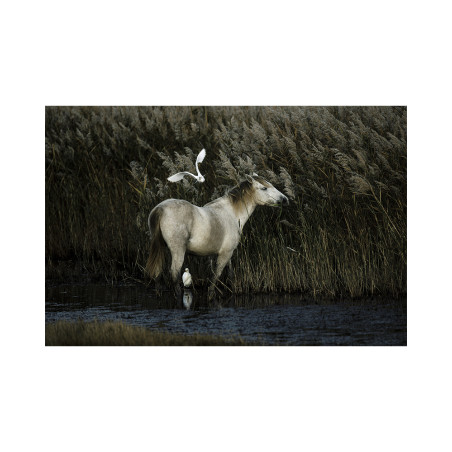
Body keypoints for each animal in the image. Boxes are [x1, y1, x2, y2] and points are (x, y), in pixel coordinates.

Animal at [147, 175, 288, 298]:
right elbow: (215, 277)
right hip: (178, 251)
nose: (285, 199)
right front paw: (212, 295)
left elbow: (229, 274)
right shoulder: (225, 253)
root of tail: (160, 209)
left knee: (158, 275)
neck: (232, 214)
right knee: (175, 275)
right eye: (264, 188)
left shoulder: (221, 254)